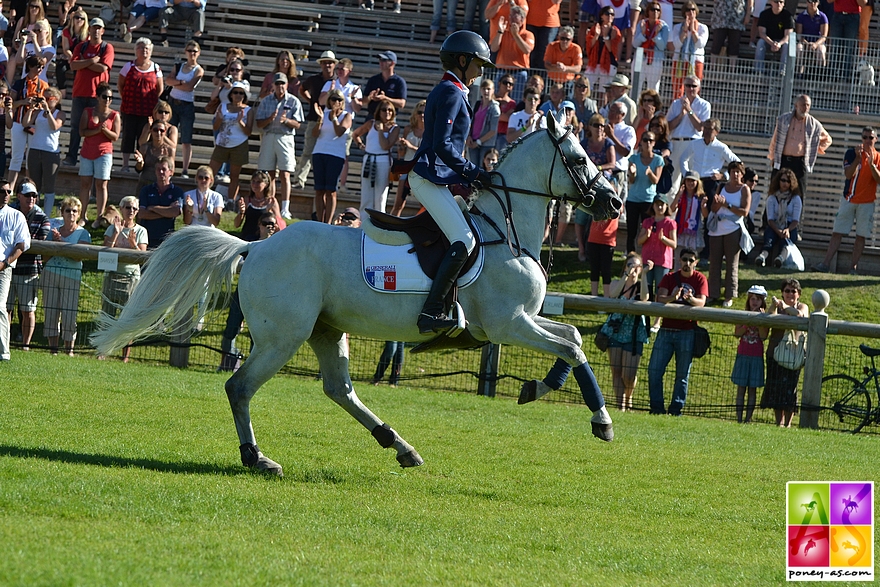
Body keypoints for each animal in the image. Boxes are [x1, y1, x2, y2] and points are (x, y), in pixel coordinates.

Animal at [91, 112, 620, 476]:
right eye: (579, 160)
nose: (614, 202)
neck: (503, 231)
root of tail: (256, 245)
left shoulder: (522, 320)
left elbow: (572, 337)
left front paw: (537, 388)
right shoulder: (508, 324)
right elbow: (573, 346)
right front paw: (600, 420)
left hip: (326, 330)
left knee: (338, 389)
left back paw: (399, 445)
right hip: (284, 337)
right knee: (240, 387)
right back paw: (258, 458)